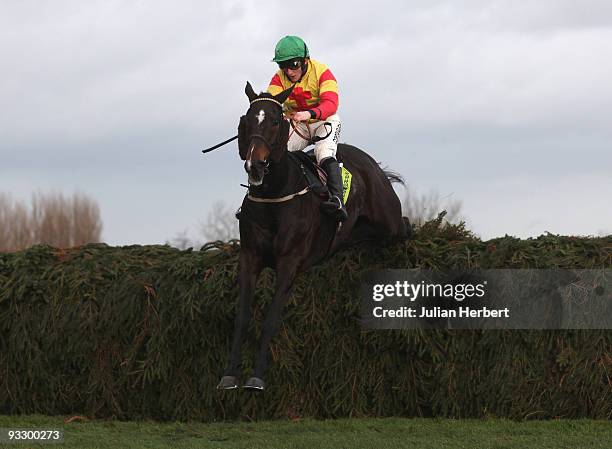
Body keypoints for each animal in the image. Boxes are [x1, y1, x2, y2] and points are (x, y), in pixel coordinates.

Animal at [218, 82, 408, 390]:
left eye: (275, 121)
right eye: (246, 121)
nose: (254, 166)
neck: (275, 193)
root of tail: (372, 165)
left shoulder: (289, 261)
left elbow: (271, 318)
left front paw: (257, 377)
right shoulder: (250, 257)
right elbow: (242, 316)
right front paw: (229, 374)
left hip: (389, 223)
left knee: (403, 225)